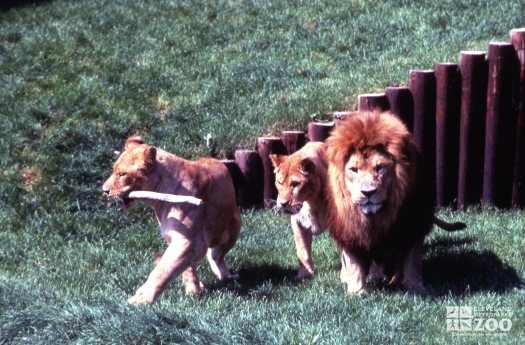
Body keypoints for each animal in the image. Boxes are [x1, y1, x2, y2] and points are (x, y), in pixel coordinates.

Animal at [102, 136, 239, 302]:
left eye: (122, 174)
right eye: (114, 171)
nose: (104, 190)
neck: (159, 201)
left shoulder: (186, 240)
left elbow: (162, 271)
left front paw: (142, 299)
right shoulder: (174, 238)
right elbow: (183, 268)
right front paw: (193, 290)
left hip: (232, 230)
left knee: (216, 255)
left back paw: (226, 276)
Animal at [270, 141, 328, 278]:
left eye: (295, 184)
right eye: (279, 182)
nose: (283, 203)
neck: (312, 202)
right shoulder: (297, 222)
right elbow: (302, 251)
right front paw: (305, 274)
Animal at [326, 110, 464, 292]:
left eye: (380, 168)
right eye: (354, 170)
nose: (368, 192)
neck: (377, 216)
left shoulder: (412, 226)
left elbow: (412, 261)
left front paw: (414, 287)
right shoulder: (351, 230)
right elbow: (354, 263)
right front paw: (356, 292)